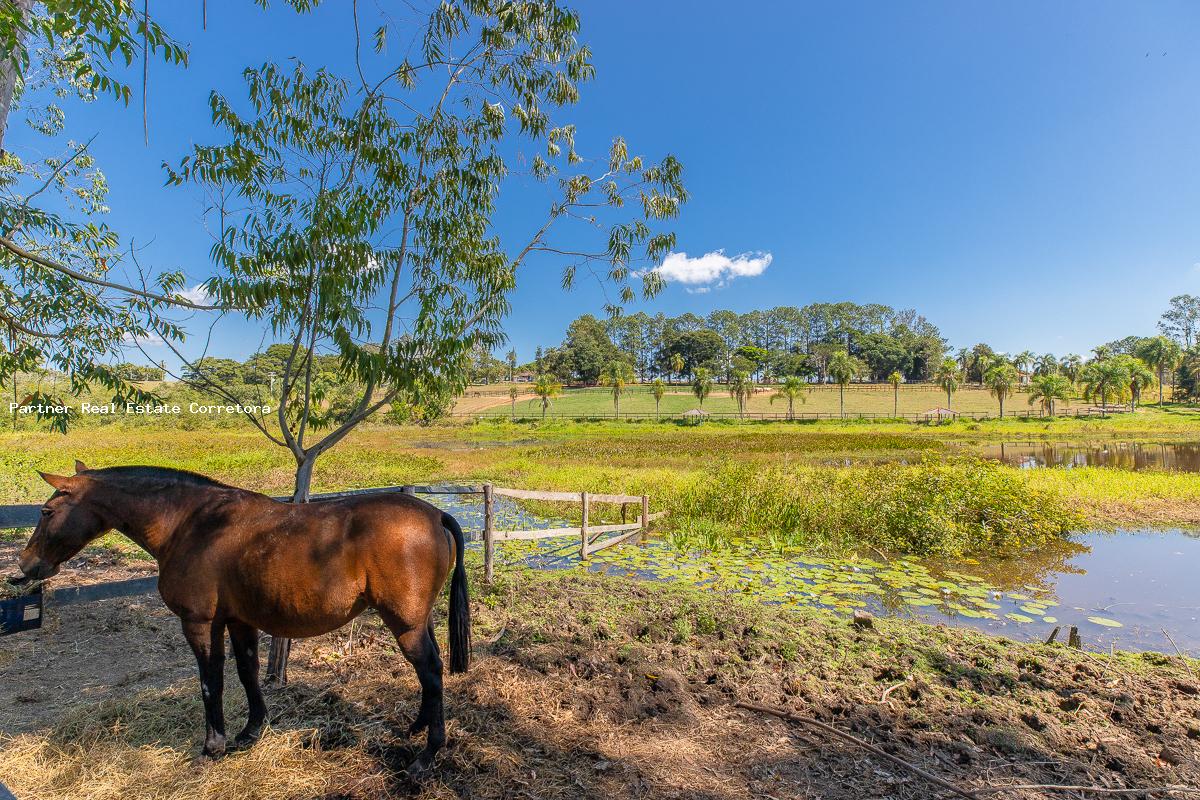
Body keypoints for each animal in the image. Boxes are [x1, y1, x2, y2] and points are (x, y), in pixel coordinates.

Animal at [19, 462, 468, 767]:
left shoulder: (200, 623)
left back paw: (428, 754)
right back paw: (418, 728)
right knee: (429, 675)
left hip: (405, 625)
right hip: (417, 621)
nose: (24, 565)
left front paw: (212, 746)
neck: (192, 523)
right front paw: (252, 731)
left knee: (431, 671)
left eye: (46, 512)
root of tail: (434, 513)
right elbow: (247, 673)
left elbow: (211, 682)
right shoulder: (239, 621)